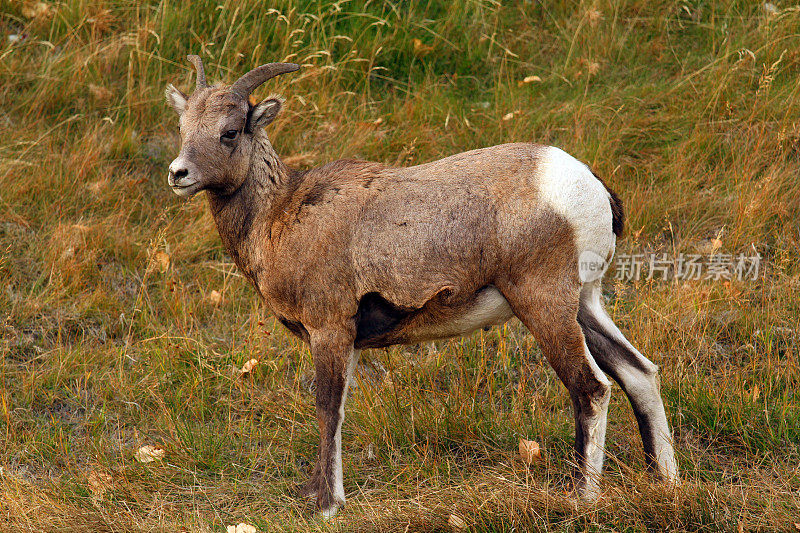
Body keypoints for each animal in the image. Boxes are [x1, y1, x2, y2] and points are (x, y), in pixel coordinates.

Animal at [166, 57, 680, 516]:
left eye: (230, 131)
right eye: (184, 128)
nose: (178, 174)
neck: (279, 215)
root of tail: (590, 186)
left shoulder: (330, 330)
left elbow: (328, 407)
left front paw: (327, 506)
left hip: (545, 305)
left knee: (591, 387)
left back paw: (581, 497)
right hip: (585, 306)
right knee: (639, 373)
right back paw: (666, 481)